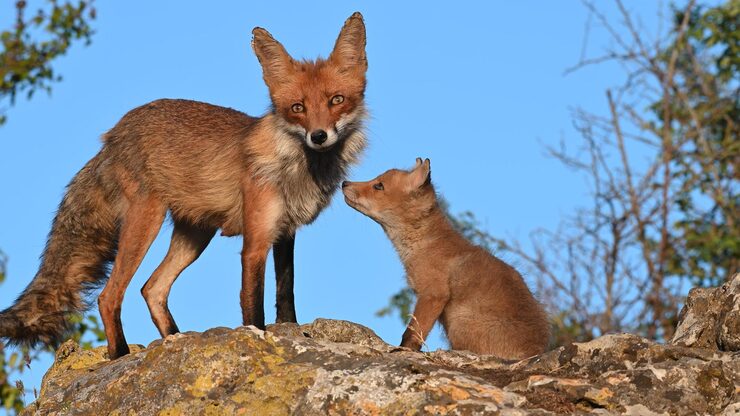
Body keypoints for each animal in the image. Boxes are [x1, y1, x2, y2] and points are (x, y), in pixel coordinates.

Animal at [0, 12, 369, 359]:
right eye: (297, 108)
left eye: (336, 100)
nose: (318, 136)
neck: (297, 168)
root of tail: (112, 136)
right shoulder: (255, 243)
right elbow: (254, 308)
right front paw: (258, 341)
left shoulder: (285, 233)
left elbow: (286, 295)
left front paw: (291, 333)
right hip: (145, 224)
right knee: (110, 295)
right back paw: (120, 356)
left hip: (194, 235)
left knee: (152, 288)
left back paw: (174, 339)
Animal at [342, 159, 550, 359]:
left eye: (379, 185)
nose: (344, 182)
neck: (424, 245)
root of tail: (535, 351)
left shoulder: (433, 294)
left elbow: (412, 334)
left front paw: (402, 350)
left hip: (459, 323)